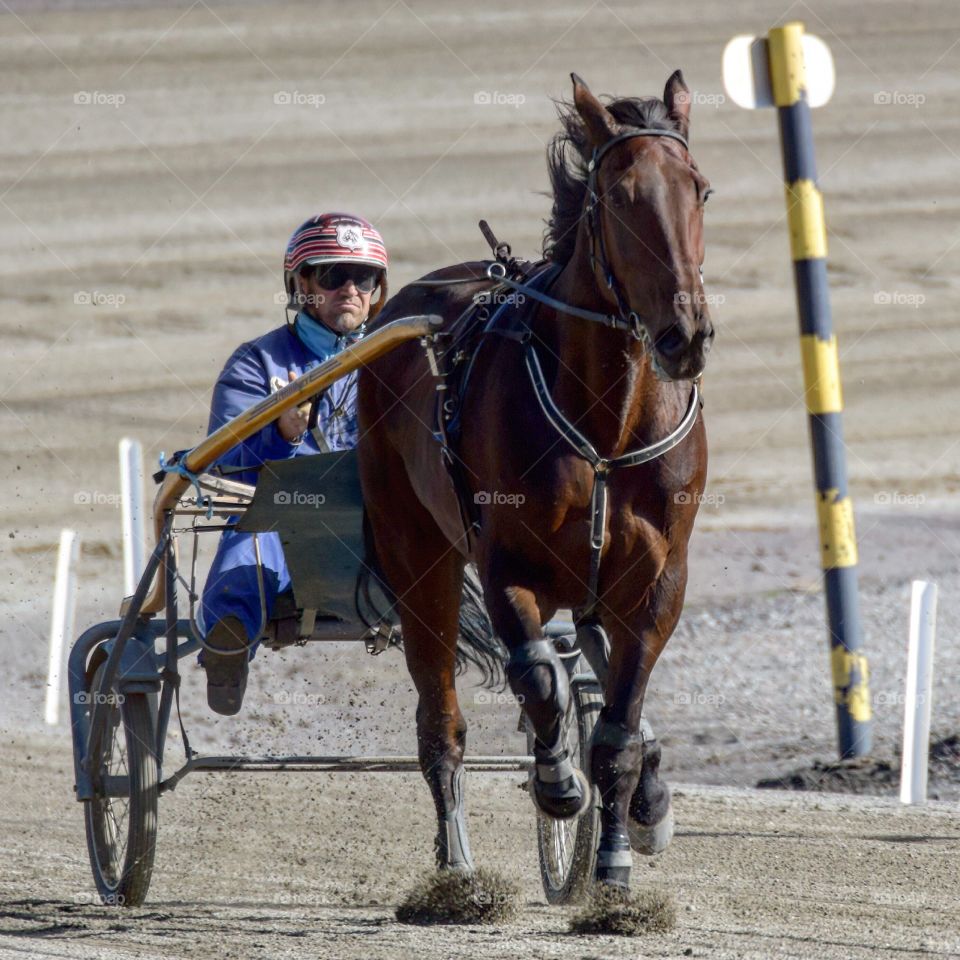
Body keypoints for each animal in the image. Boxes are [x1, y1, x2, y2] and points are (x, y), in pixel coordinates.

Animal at [357, 70, 713, 891]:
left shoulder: (658, 580)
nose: (684, 335)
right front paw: (556, 782)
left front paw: (615, 863)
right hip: (415, 552)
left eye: (699, 189)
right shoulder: (505, 563)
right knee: (442, 719)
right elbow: (539, 677)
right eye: (620, 196)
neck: (608, 424)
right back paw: (456, 870)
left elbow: (617, 727)